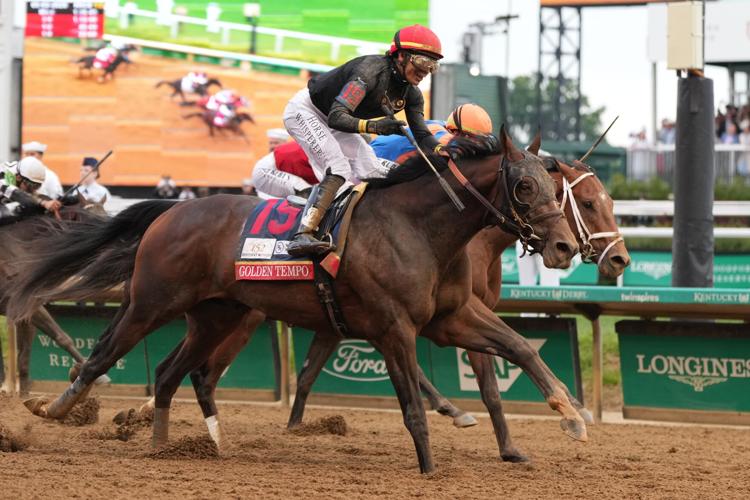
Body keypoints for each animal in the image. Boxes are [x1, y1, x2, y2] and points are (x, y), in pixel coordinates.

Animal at [0, 199, 111, 395]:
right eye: (92, 220)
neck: (20, 250)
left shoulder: (26, 312)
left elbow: (24, 355)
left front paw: (24, 394)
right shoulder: (27, 305)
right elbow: (62, 337)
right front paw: (99, 376)